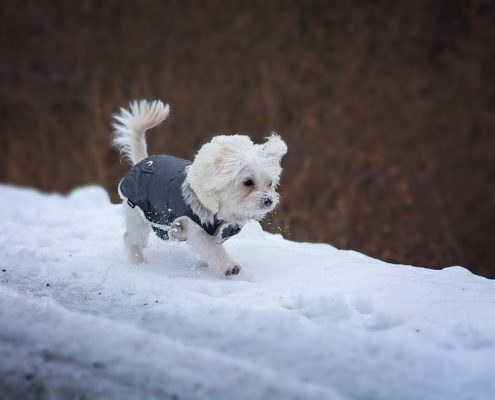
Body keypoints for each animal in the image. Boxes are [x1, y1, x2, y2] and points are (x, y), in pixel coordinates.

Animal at [113, 99, 288, 276]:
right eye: (248, 182)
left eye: (270, 183)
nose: (268, 200)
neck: (223, 209)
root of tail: (142, 162)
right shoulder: (197, 230)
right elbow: (212, 249)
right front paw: (228, 266)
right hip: (138, 215)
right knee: (130, 239)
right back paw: (138, 260)